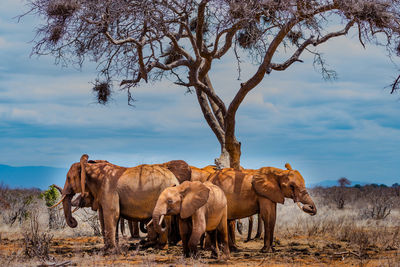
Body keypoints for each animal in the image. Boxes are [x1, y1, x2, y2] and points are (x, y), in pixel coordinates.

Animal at [52, 155, 188, 251]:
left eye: (68, 178)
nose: (74, 221)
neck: (90, 166)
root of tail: (175, 180)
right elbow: (103, 216)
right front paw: (108, 248)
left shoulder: (108, 189)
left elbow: (112, 214)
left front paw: (110, 251)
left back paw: (160, 247)